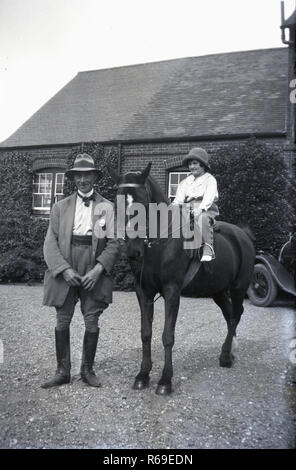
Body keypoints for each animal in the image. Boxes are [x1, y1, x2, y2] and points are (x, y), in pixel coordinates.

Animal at [107, 163, 256, 394]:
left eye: (142, 202)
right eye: (117, 202)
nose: (132, 250)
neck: (159, 245)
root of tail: (243, 234)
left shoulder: (172, 291)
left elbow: (168, 336)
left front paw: (165, 381)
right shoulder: (143, 291)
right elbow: (146, 333)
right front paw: (142, 375)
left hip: (238, 287)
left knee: (236, 315)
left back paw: (225, 356)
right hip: (218, 291)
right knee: (230, 314)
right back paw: (230, 351)